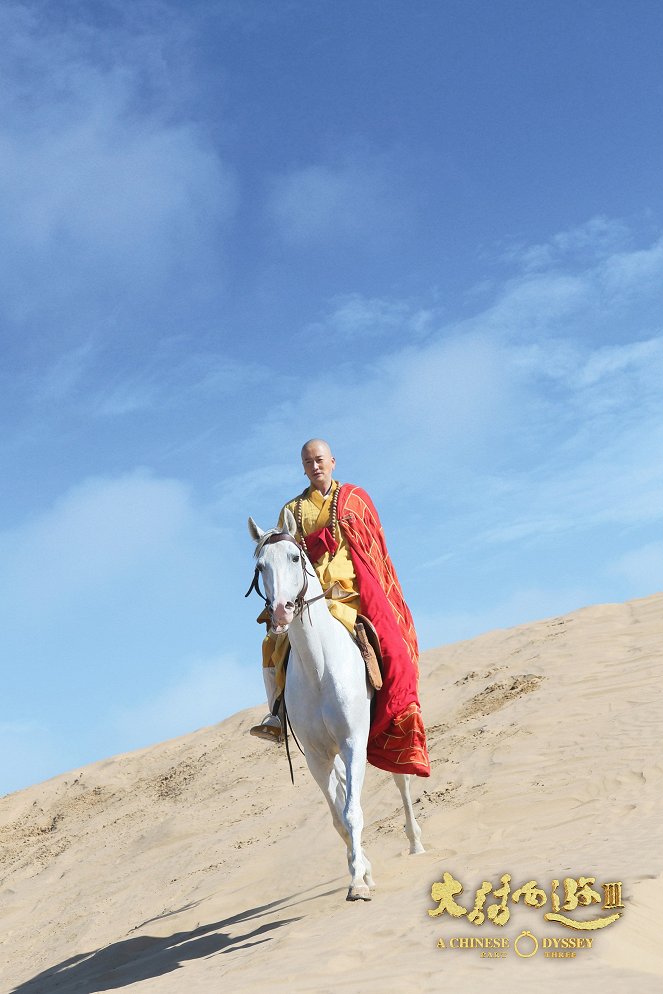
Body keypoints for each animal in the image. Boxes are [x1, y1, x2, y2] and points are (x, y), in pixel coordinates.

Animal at [248, 508, 426, 904]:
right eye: (260, 566)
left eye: (294, 558)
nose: (279, 614)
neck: (320, 668)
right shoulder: (317, 756)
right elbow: (338, 817)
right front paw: (363, 871)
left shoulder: (353, 741)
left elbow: (353, 811)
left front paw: (358, 882)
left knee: (401, 779)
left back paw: (416, 843)